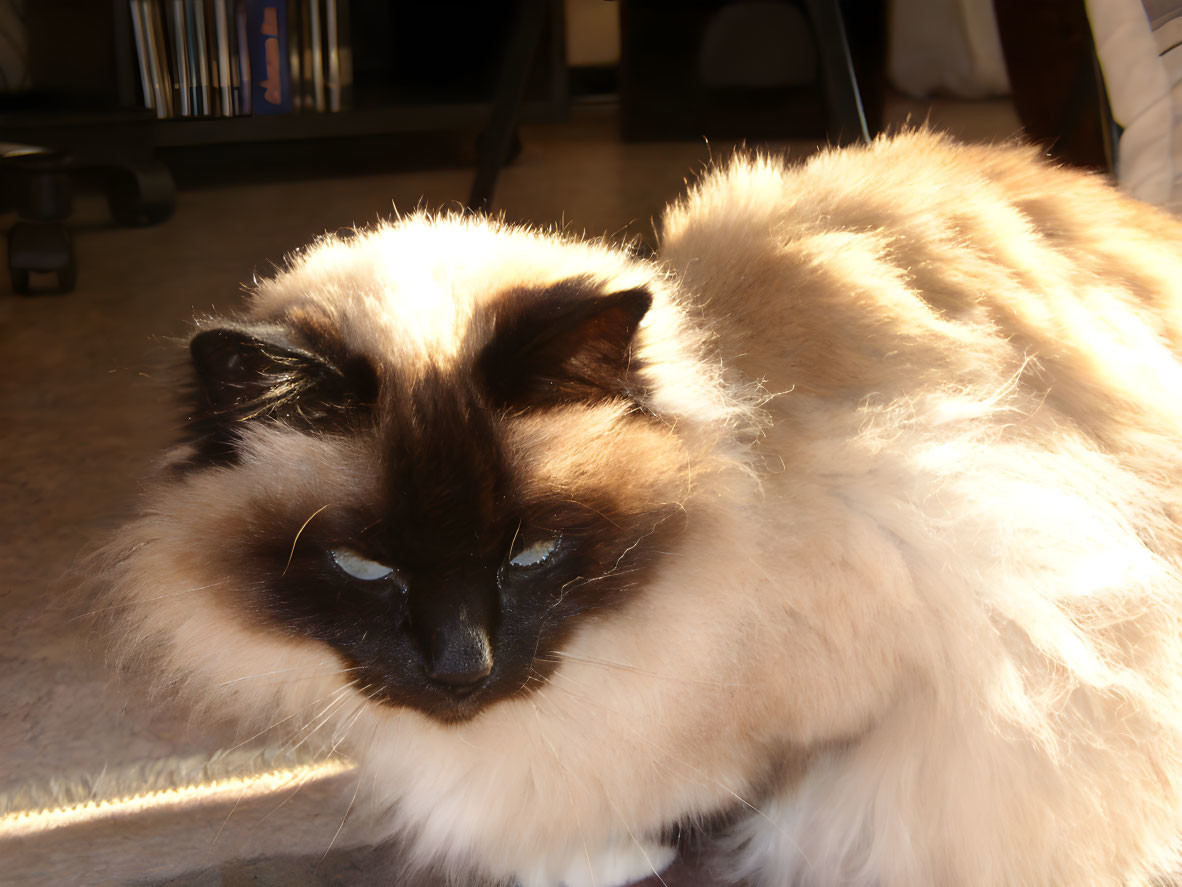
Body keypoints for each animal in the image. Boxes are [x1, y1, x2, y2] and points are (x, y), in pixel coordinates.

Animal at [96, 131, 1182, 887]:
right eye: (367, 567)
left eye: (531, 553)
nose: (462, 666)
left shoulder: (942, 636)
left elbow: (747, 796)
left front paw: (631, 852)